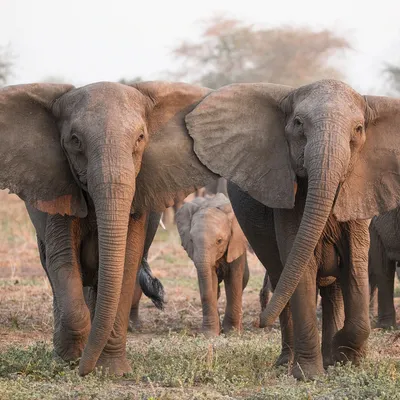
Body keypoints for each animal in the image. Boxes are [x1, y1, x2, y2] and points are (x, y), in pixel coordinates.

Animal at [0, 80, 217, 376]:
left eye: (140, 138)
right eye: (75, 140)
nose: (83, 370)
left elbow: (126, 262)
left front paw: (111, 371)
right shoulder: (59, 188)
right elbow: (63, 261)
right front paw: (71, 360)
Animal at [176, 193, 248, 334]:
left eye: (219, 241)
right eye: (191, 240)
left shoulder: (236, 244)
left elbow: (234, 281)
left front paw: (232, 332)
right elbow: (209, 282)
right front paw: (209, 334)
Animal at [185, 79, 400, 380]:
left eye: (358, 129)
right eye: (298, 123)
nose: (259, 322)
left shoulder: (359, 192)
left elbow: (355, 266)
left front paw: (345, 358)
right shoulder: (287, 200)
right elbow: (302, 268)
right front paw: (309, 375)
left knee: (332, 291)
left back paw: (328, 357)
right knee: (282, 280)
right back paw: (287, 362)